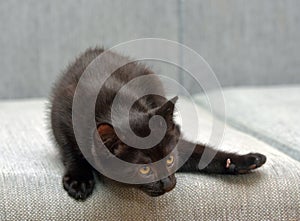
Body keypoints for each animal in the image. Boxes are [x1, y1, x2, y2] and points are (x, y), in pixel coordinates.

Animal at [49, 48, 268, 200]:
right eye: (145, 170)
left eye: (169, 160)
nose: (168, 184)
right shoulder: (61, 116)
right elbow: (69, 148)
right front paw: (79, 180)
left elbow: (200, 152)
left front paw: (245, 161)